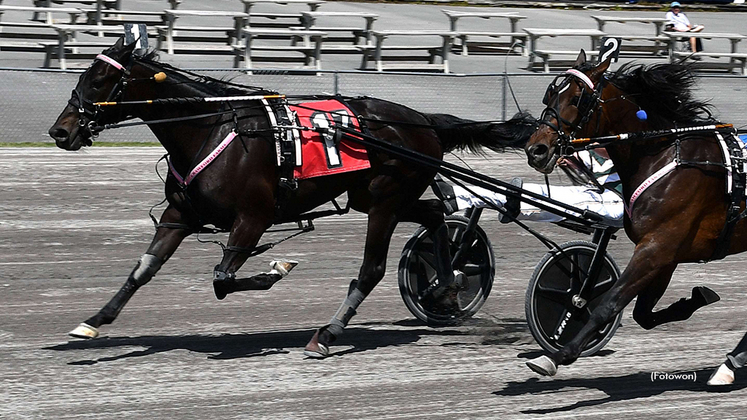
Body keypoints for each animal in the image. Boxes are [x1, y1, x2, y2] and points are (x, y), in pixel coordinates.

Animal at [48, 38, 536, 358]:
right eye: (84, 75)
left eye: (101, 80)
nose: (60, 131)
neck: (211, 130)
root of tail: (424, 121)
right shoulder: (181, 214)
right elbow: (144, 269)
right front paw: (94, 322)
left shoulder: (254, 217)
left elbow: (223, 279)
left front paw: (276, 269)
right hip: (374, 196)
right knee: (436, 214)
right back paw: (445, 285)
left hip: (385, 200)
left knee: (374, 268)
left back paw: (328, 333)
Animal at [524, 50, 744, 378]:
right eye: (550, 94)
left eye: (577, 99)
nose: (536, 150)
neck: (663, 156)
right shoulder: (666, 254)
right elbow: (643, 314)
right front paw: (694, 300)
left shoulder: (656, 247)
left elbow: (609, 303)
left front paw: (558, 354)